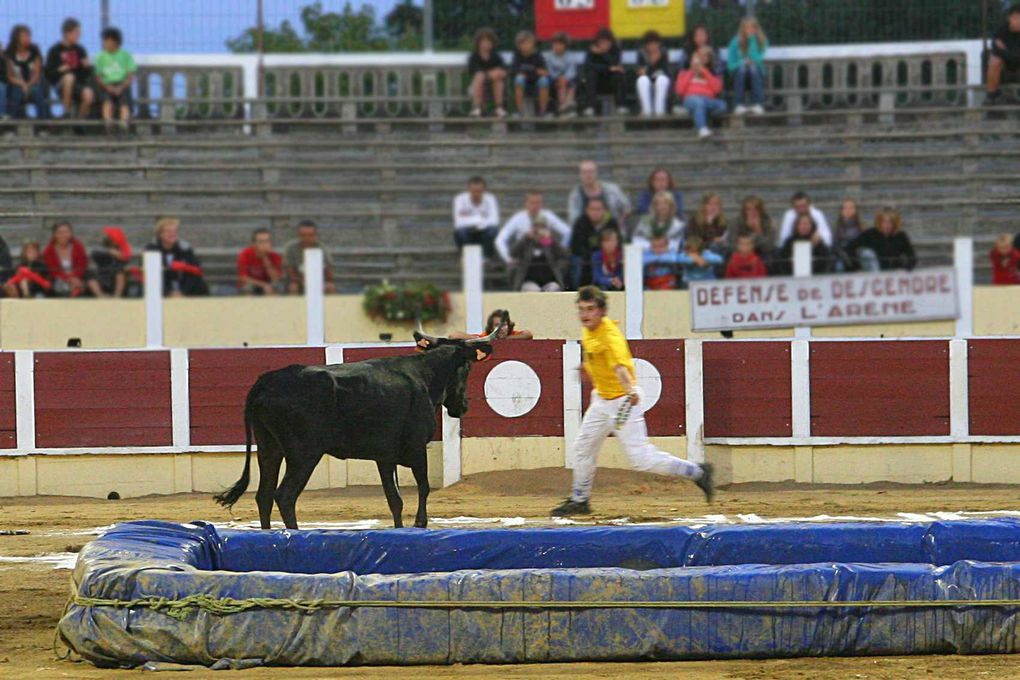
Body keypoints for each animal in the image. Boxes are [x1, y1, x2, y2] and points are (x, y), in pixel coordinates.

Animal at [213, 326, 499, 530]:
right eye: (468, 367)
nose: (463, 406)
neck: (425, 376)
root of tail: (266, 381)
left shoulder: (385, 457)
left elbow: (394, 499)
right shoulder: (417, 448)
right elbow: (423, 486)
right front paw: (420, 523)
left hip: (269, 448)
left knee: (263, 495)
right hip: (303, 454)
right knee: (284, 496)